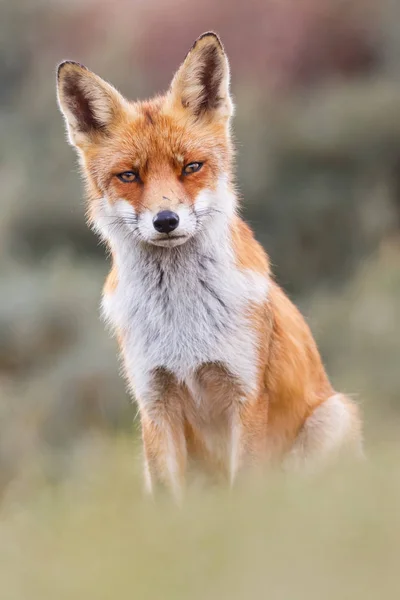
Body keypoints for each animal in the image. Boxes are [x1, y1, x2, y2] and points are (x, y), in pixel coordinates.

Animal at [56, 30, 362, 500]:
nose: (166, 221)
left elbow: (244, 490)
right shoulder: (154, 401)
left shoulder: (245, 393)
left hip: (334, 416)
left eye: (191, 167)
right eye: (129, 176)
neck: (182, 321)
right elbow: (170, 500)